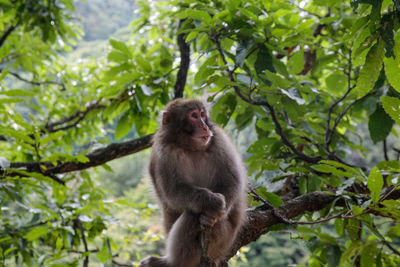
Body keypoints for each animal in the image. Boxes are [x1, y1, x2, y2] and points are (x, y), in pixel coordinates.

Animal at [140, 98, 247, 267]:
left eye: (202, 115)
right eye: (194, 116)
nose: (204, 126)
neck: (190, 147)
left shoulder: (218, 137)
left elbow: (232, 180)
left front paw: (213, 212)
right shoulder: (164, 150)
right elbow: (173, 192)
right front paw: (212, 202)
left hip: (221, 240)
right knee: (192, 214)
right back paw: (171, 263)